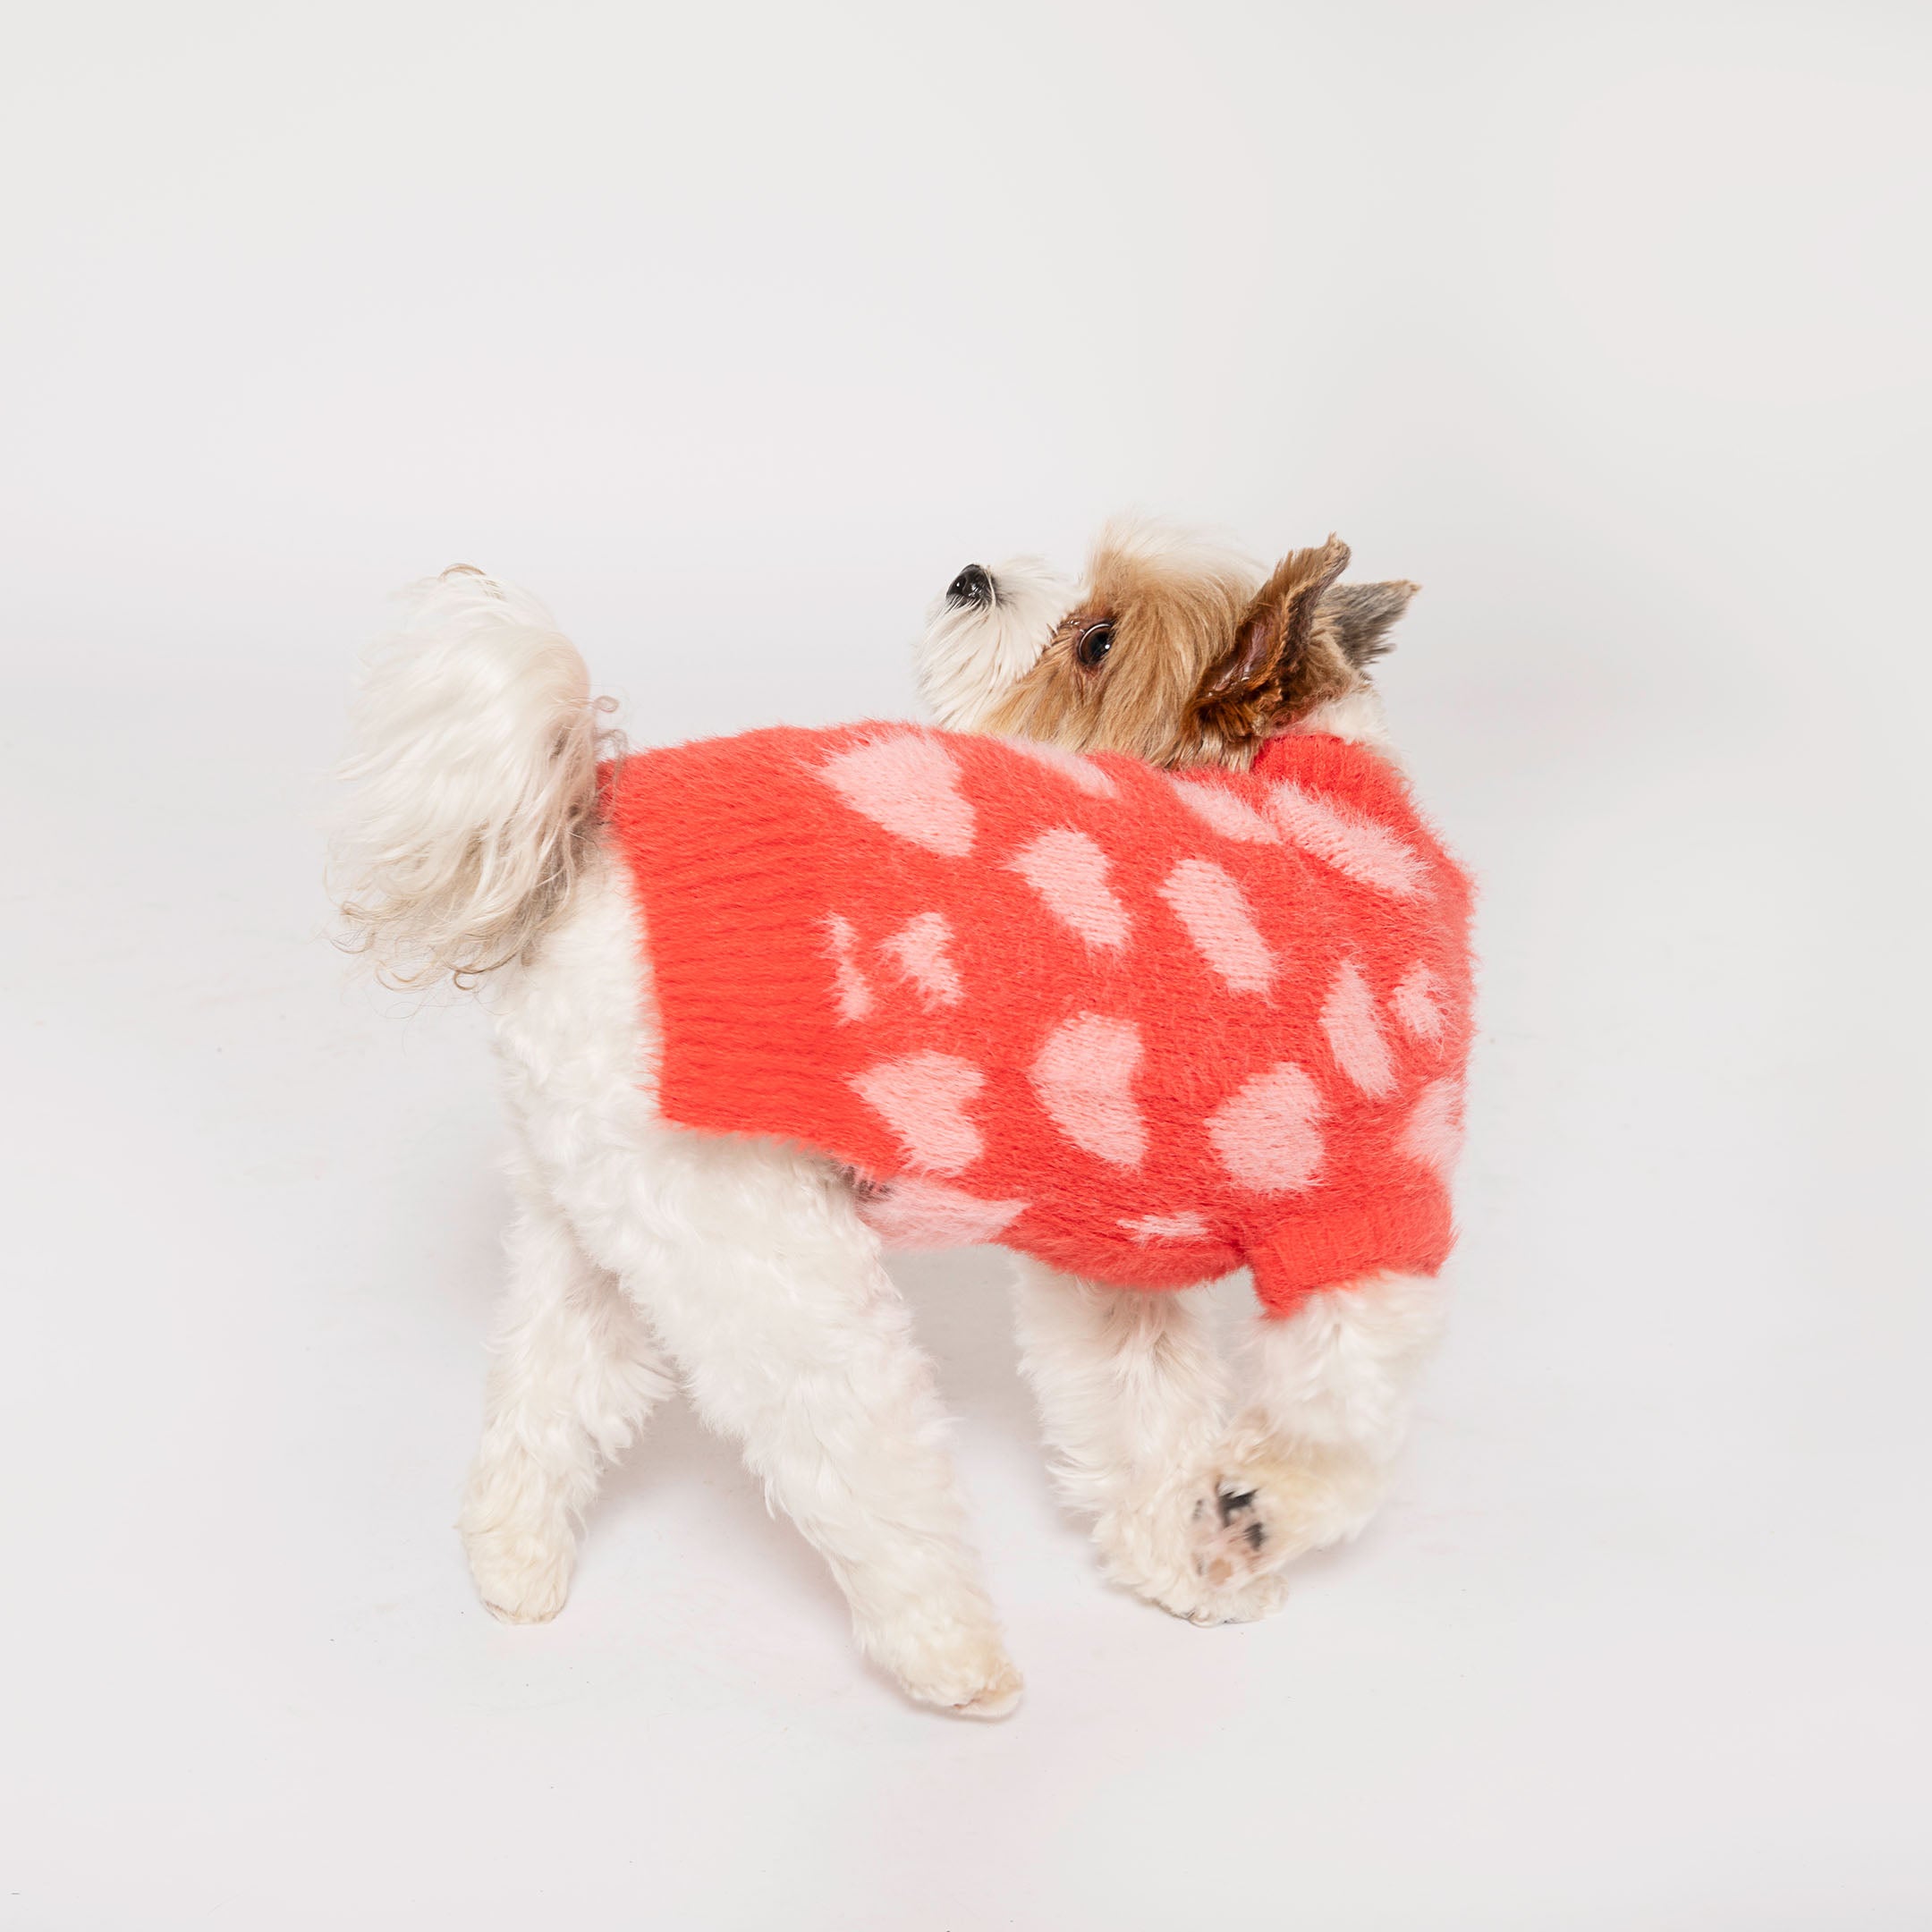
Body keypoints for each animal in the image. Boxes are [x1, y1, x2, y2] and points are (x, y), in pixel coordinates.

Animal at [335, 521, 1476, 1716]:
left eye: (1098, 640)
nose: (972, 575)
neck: (1309, 808)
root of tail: (589, 823)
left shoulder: (1117, 1266)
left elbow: (1145, 1422)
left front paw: (1188, 1561)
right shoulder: (1369, 1208)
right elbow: (1351, 1421)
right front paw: (1261, 1509)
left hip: (605, 1214)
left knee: (549, 1391)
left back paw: (513, 1565)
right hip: (772, 1263)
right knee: (861, 1476)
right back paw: (953, 1654)